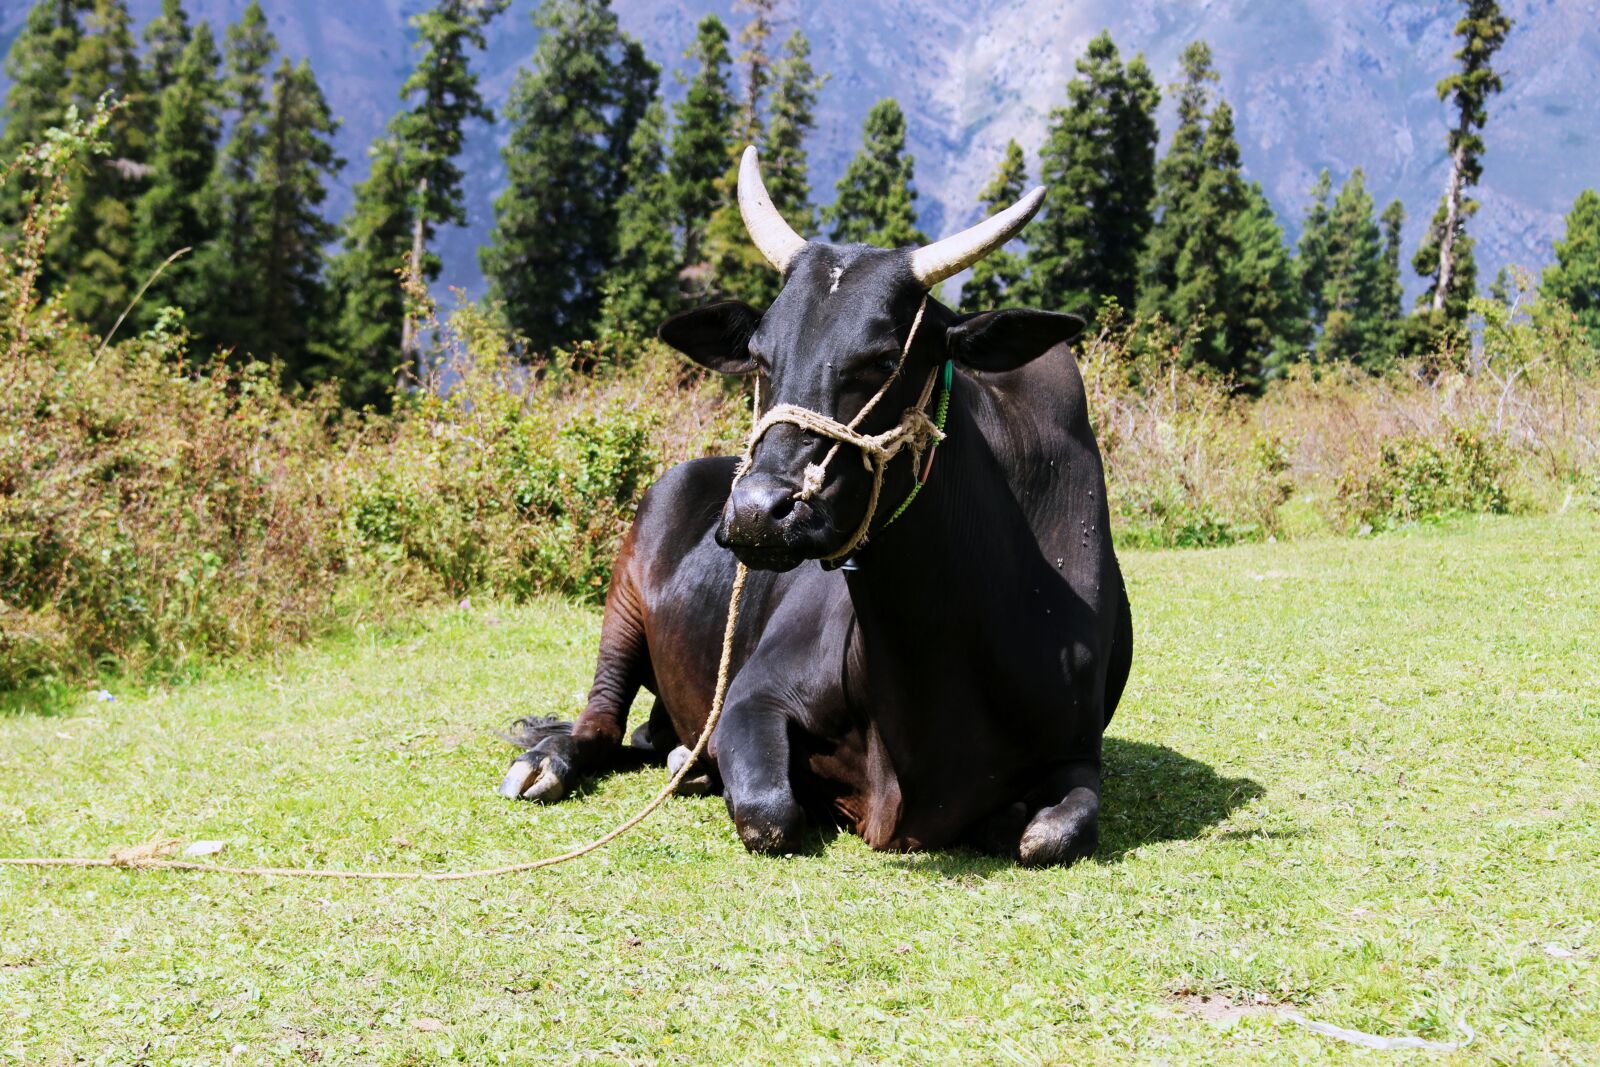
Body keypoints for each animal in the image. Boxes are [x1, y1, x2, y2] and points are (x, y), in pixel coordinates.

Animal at [497, 147, 1133, 867]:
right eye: (759, 354)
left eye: (883, 358)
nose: (754, 511)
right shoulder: (753, 697)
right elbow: (770, 815)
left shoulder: (1077, 751)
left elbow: (1053, 833)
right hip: (622, 602)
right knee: (602, 722)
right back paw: (555, 761)